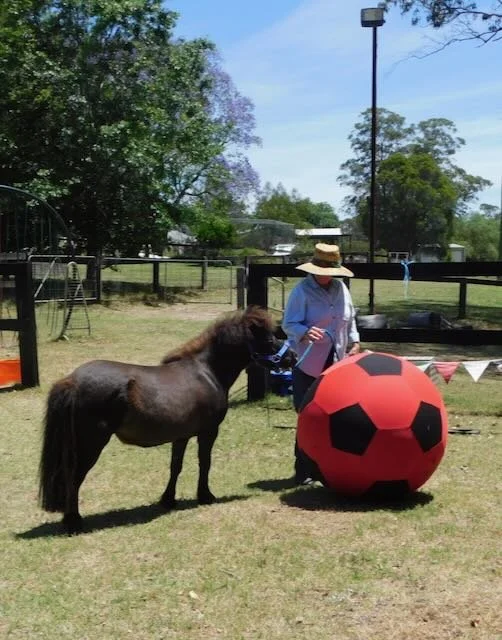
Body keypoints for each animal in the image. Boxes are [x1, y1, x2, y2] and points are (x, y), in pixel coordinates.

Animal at [39, 306, 294, 534]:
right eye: (269, 338)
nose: (292, 357)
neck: (207, 372)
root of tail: (72, 380)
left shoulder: (181, 436)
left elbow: (176, 466)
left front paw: (168, 499)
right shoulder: (208, 432)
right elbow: (205, 462)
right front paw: (205, 495)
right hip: (90, 444)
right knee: (74, 477)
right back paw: (73, 521)